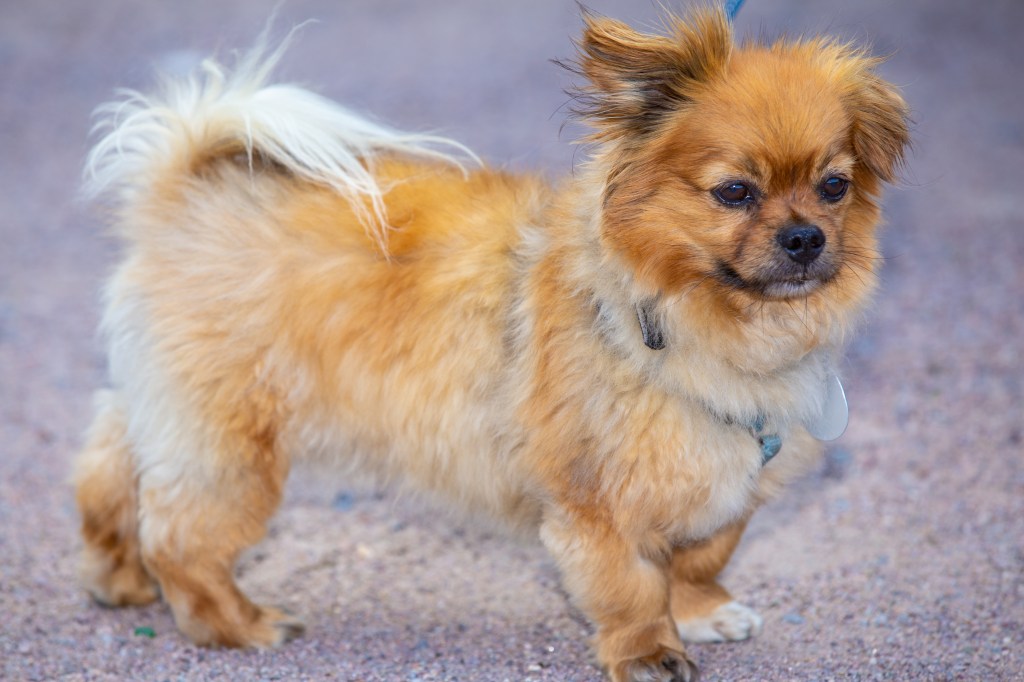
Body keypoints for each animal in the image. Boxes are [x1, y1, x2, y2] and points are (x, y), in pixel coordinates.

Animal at [75, 6, 909, 679]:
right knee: (180, 539)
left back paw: (119, 578)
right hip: (234, 453)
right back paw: (238, 625)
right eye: (735, 192)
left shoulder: (730, 478)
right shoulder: (594, 503)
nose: (805, 238)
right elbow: (633, 586)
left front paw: (702, 611)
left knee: (107, 475)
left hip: (165, 416)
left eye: (834, 186)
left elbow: (701, 554)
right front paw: (649, 652)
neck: (676, 316)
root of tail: (181, 190)